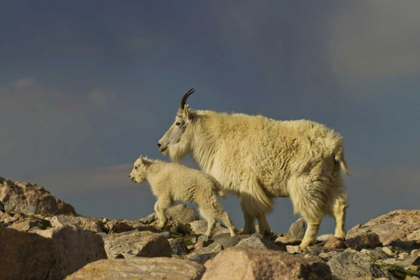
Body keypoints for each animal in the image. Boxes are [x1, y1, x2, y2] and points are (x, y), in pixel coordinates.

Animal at [157, 88, 348, 249]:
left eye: (178, 123)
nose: (160, 145)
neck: (217, 139)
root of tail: (335, 147)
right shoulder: (252, 188)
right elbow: (256, 212)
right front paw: (261, 231)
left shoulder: (246, 184)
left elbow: (249, 211)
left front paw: (248, 232)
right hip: (330, 180)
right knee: (340, 205)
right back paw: (340, 236)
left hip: (306, 182)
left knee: (314, 215)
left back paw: (304, 244)